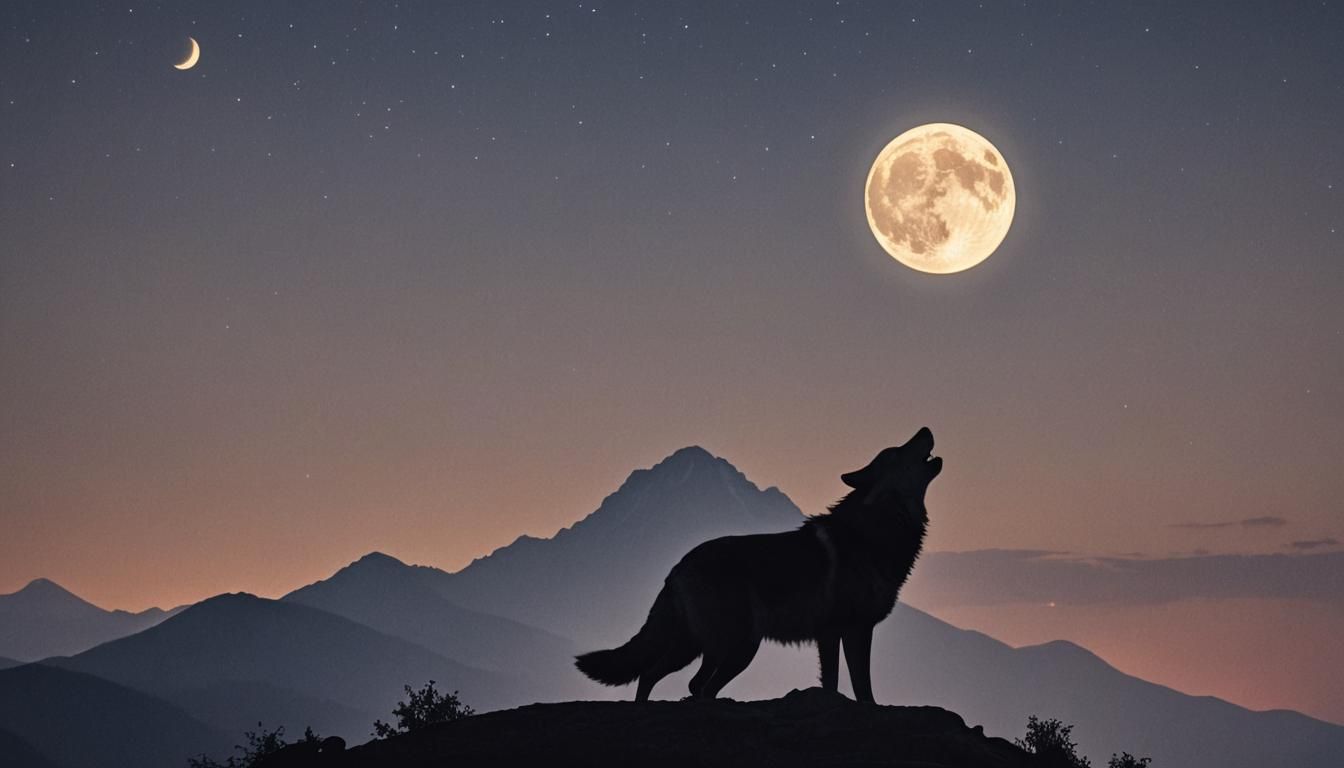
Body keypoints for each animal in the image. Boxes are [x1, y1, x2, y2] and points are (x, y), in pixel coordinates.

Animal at [575, 427, 941, 703]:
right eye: (895, 453)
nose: (925, 428)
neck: (879, 525)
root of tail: (677, 567)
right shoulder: (845, 631)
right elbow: (854, 687)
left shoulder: (843, 632)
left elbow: (845, 687)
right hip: (730, 647)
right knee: (670, 679)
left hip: (711, 647)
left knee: (676, 681)